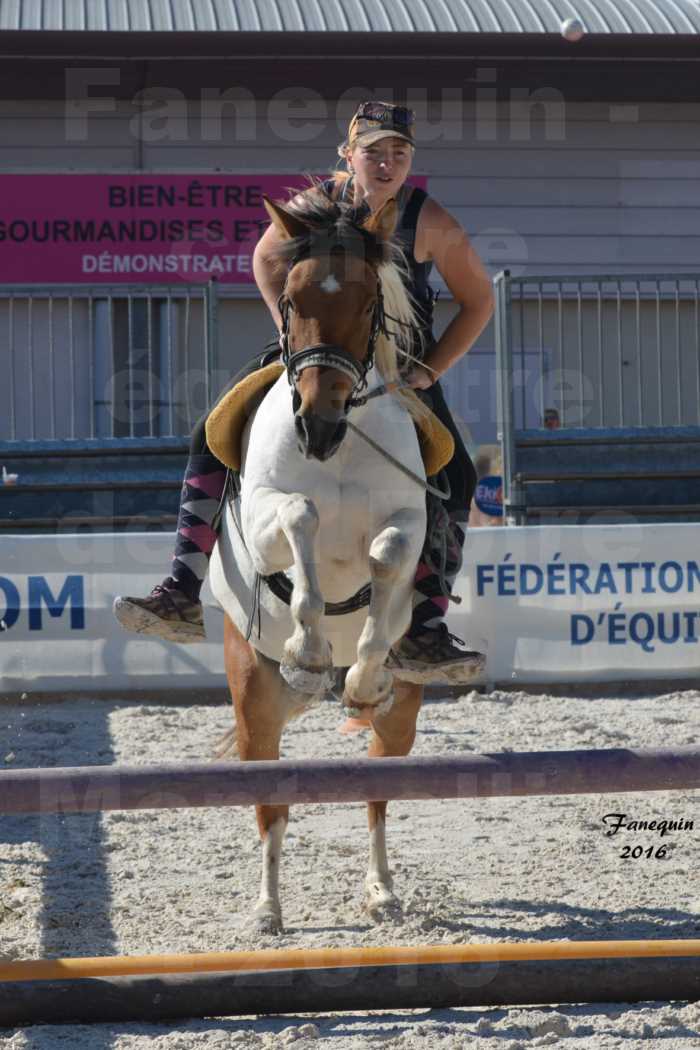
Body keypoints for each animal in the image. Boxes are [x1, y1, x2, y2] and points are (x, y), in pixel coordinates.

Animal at [207, 188, 438, 936]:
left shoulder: (409, 520)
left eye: (368, 302)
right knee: (271, 808)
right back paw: (268, 908)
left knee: (377, 792)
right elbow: (302, 517)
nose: (317, 422)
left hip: (401, 717)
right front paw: (308, 647)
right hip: (255, 703)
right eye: (291, 296)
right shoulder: (265, 514)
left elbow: (387, 556)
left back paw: (382, 891)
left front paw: (361, 670)